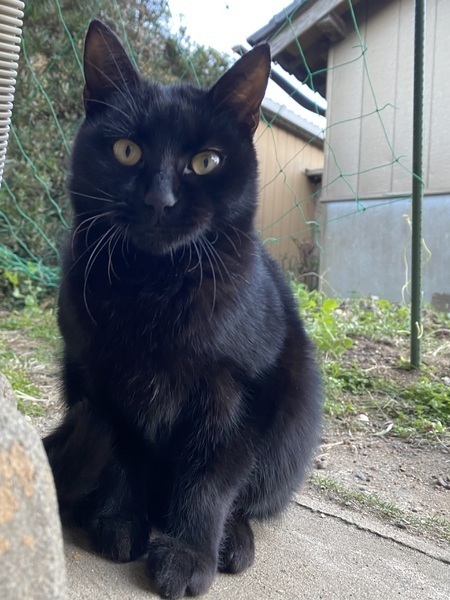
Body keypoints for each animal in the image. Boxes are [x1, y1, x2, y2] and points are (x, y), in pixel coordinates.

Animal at [44, 19, 322, 599]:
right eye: (127, 151)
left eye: (206, 162)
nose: (160, 200)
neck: (154, 286)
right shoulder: (101, 382)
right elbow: (121, 455)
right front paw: (118, 521)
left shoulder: (235, 391)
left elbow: (212, 477)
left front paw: (191, 554)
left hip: (295, 414)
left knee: (249, 496)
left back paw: (233, 541)